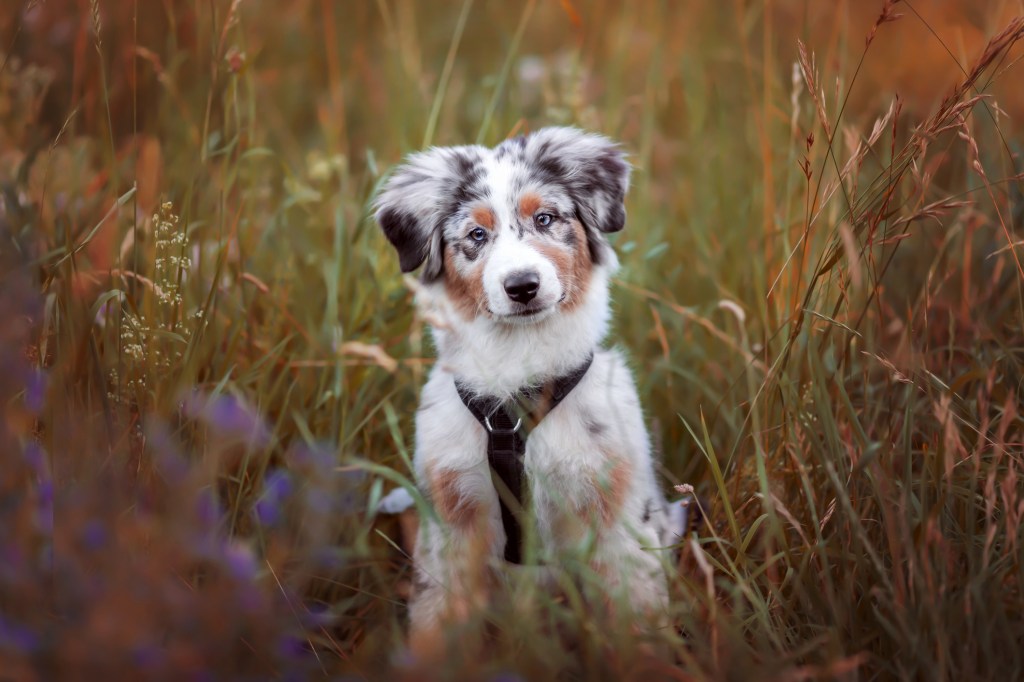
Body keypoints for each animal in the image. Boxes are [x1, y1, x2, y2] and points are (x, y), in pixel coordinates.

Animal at [372, 124, 675, 651]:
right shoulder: (451, 518)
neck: (519, 382)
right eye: (477, 235)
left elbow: (635, 614)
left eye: (546, 218)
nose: (522, 286)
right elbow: (437, 619)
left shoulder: (616, 511)